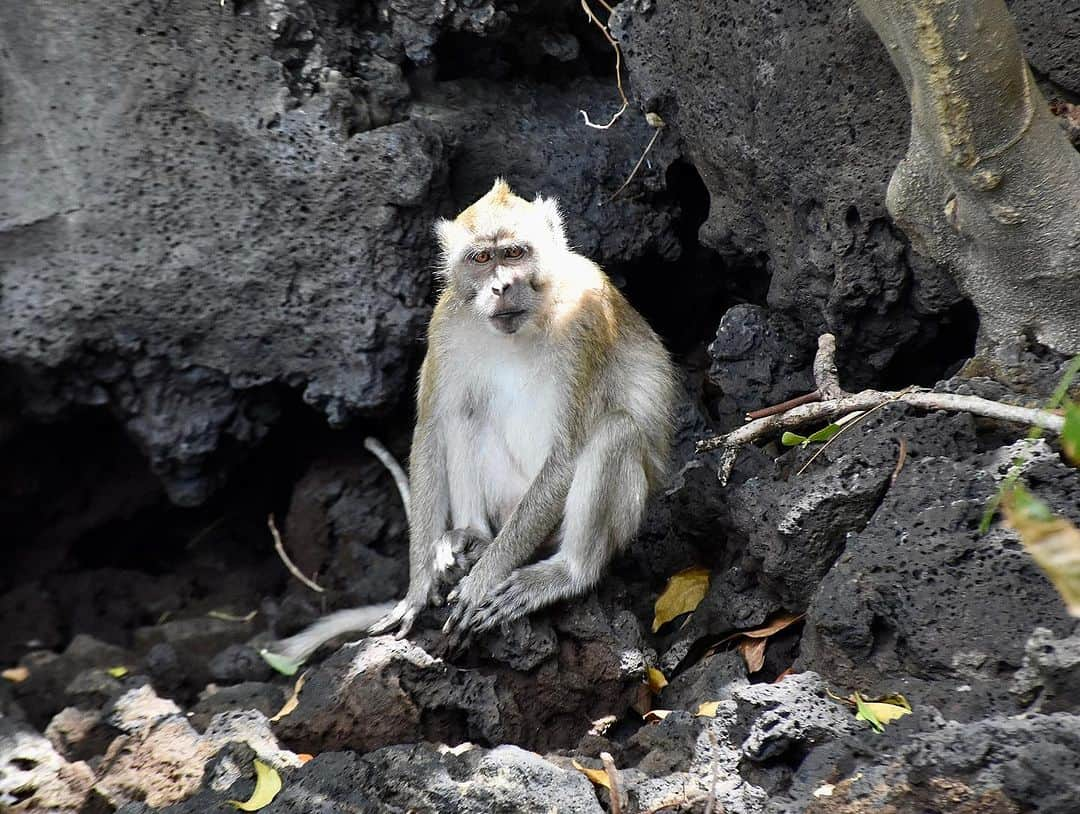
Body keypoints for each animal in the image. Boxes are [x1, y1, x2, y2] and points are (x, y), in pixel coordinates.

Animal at [270, 179, 673, 660]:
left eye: (514, 253)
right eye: (481, 259)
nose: (501, 286)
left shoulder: (587, 320)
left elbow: (566, 455)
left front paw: (481, 584)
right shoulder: (446, 323)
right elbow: (431, 427)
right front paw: (417, 589)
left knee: (616, 431)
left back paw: (566, 572)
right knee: (463, 412)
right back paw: (472, 536)